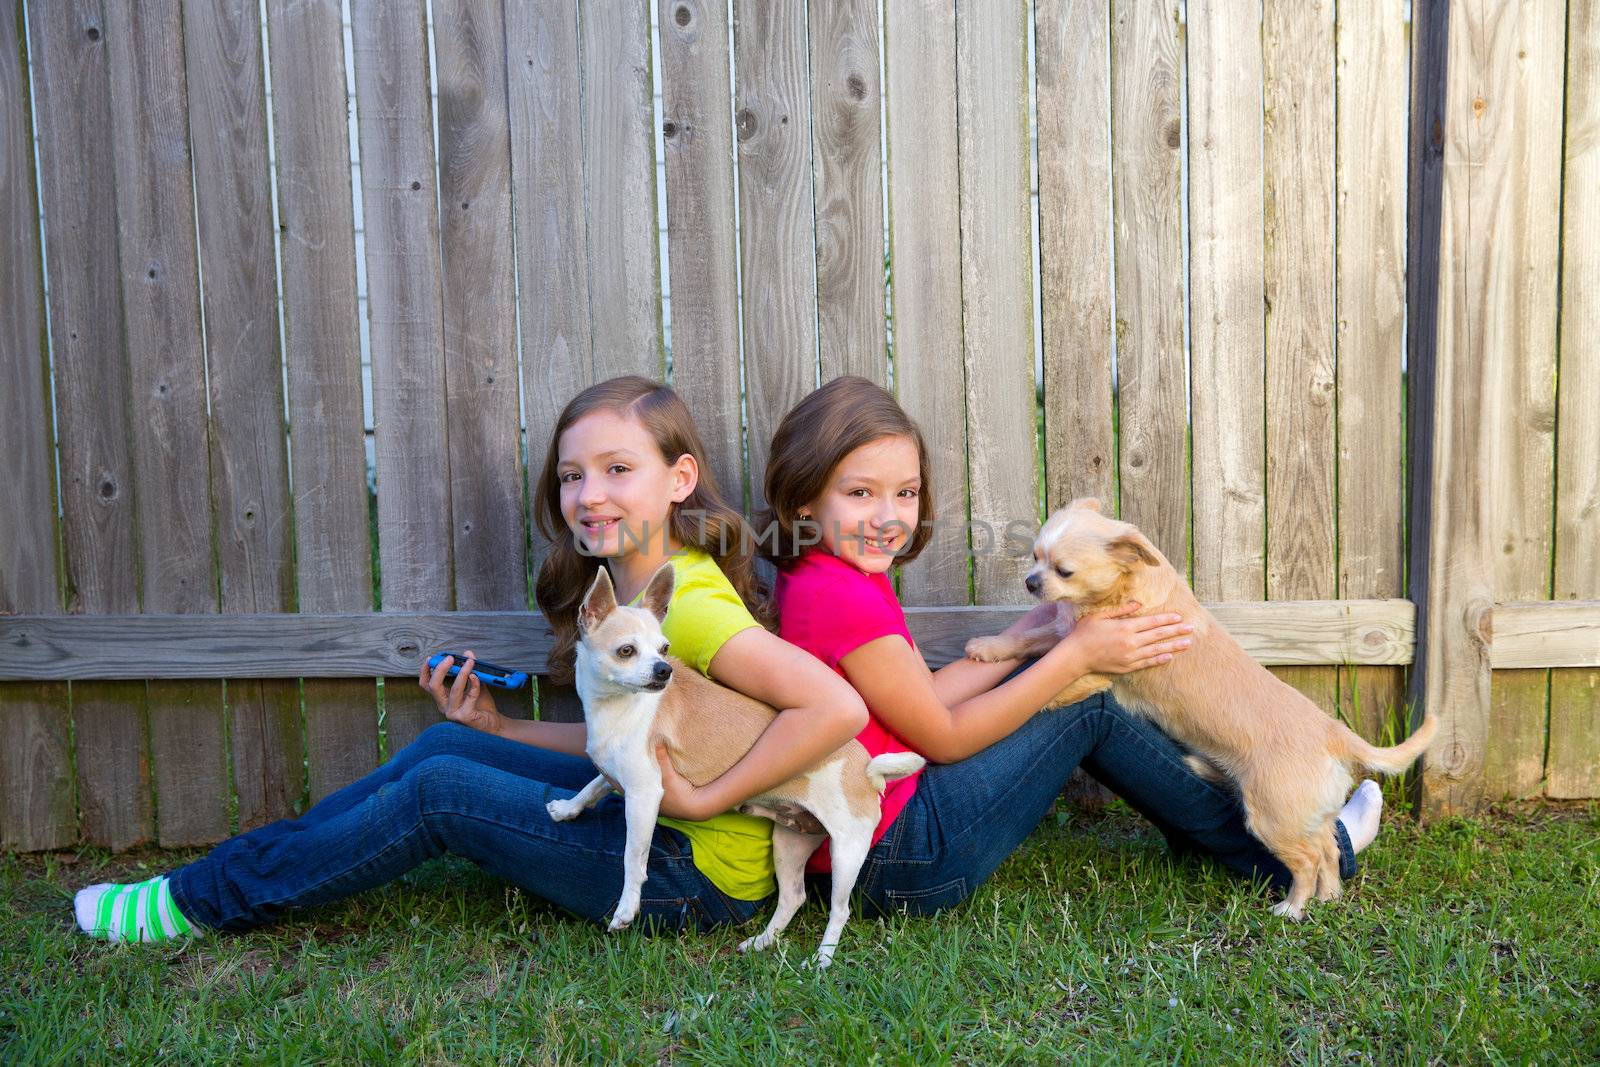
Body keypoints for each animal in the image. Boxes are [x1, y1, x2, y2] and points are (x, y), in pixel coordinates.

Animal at [550, 566, 928, 966]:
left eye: (665, 649)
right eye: (626, 651)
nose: (664, 670)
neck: (614, 705)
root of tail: (867, 769)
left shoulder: (644, 793)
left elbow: (632, 857)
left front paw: (626, 909)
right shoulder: (618, 772)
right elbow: (594, 785)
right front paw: (567, 809)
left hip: (847, 851)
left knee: (840, 910)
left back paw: (822, 960)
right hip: (791, 841)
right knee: (793, 896)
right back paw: (762, 942)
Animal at [960, 502, 1440, 921]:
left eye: (1064, 571)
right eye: (1035, 558)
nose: (1031, 582)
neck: (1117, 593)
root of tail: (1334, 733)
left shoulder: (1098, 665)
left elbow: (1053, 679)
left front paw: (1030, 700)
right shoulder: (1066, 636)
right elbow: (1032, 640)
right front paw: (988, 648)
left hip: (1272, 817)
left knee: (1306, 860)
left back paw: (1292, 908)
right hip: (1304, 814)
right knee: (1328, 849)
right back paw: (1326, 898)